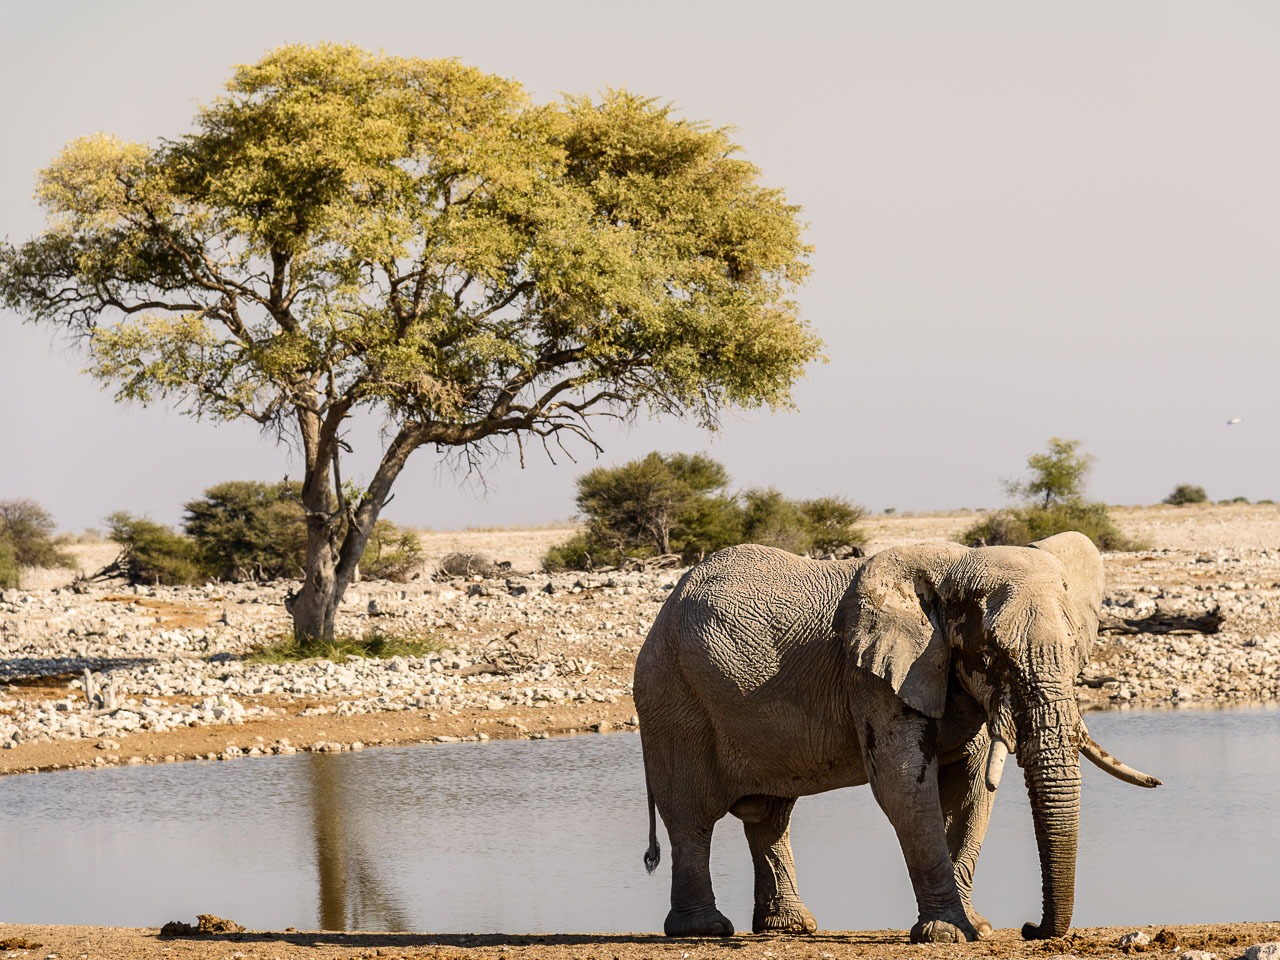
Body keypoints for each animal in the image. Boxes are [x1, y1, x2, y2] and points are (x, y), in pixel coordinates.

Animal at [632, 537, 1162, 942]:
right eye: (991, 654)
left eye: (1075, 649)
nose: (1032, 928)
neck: (958, 566)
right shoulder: (873, 675)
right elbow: (905, 786)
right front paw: (948, 934)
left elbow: (970, 790)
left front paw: (975, 928)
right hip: (669, 695)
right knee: (692, 816)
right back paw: (704, 930)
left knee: (770, 816)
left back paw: (789, 928)